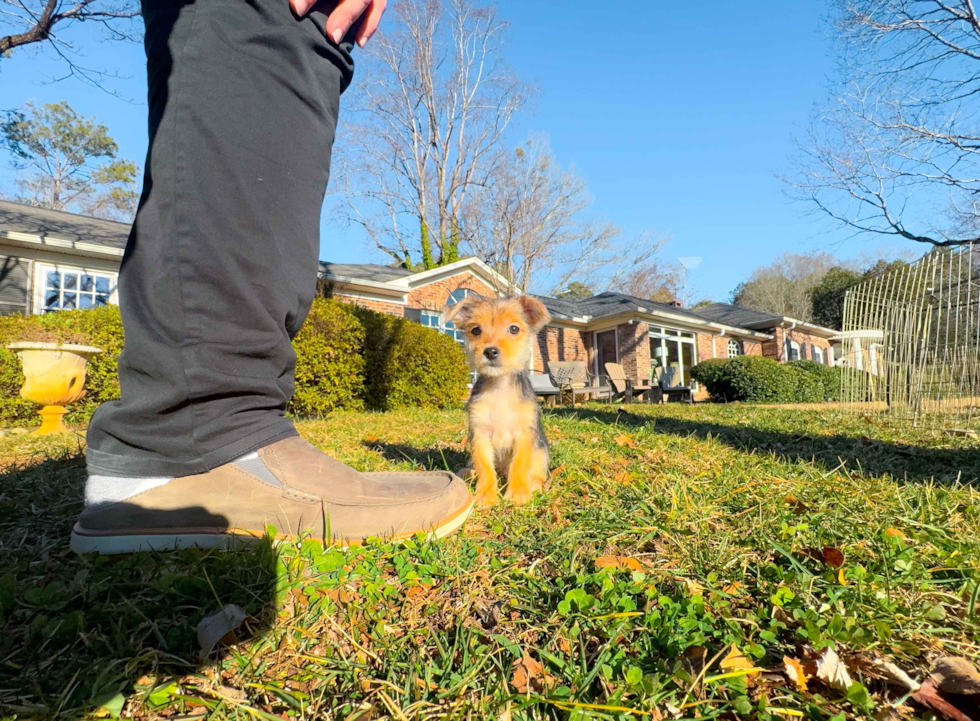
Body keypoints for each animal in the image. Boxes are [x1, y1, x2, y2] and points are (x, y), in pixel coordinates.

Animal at [444, 292, 552, 506]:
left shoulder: (524, 434)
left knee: (537, 471)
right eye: (476, 330)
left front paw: (518, 492)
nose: (490, 351)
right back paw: (467, 473)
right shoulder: (480, 435)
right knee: (476, 468)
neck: (499, 387)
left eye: (514, 328)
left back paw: (534, 483)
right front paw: (486, 494)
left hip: (541, 451)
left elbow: (519, 465)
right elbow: (485, 468)